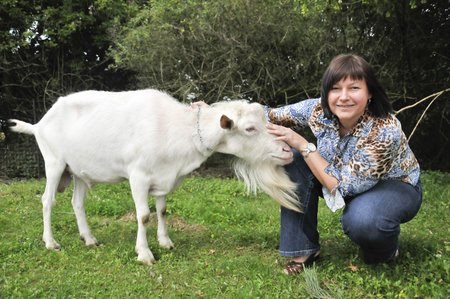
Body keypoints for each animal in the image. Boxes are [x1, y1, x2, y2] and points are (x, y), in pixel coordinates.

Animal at [6, 88, 298, 264]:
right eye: (249, 128)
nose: (287, 151)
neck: (176, 129)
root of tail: (40, 123)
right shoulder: (138, 176)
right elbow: (144, 215)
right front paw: (145, 253)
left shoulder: (164, 176)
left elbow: (162, 210)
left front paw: (166, 242)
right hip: (54, 162)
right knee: (47, 201)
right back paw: (51, 242)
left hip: (77, 171)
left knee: (77, 203)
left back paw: (89, 239)